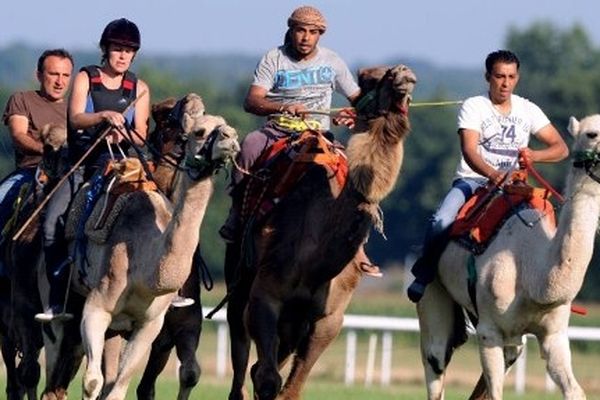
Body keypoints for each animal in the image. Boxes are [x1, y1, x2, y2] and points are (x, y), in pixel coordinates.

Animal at [225, 64, 418, 400]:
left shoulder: (329, 318)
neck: (316, 262)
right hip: (239, 277)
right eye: (368, 77)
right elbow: (267, 380)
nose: (403, 75)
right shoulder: (266, 295)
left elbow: (290, 388)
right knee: (241, 353)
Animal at [414, 114, 600, 398]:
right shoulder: (489, 331)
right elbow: (495, 392)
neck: (534, 272)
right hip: (433, 292)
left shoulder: (554, 335)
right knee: (436, 359)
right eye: (591, 134)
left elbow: (574, 391)